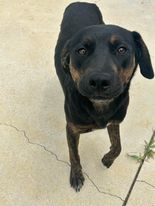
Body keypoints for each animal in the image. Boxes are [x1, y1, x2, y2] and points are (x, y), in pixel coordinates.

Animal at [54, 2, 154, 192]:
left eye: (122, 49)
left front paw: (108, 158)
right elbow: (74, 154)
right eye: (81, 50)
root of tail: (81, 3)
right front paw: (76, 175)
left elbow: (118, 146)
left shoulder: (114, 122)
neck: (99, 107)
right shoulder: (71, 128)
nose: (99, 81)